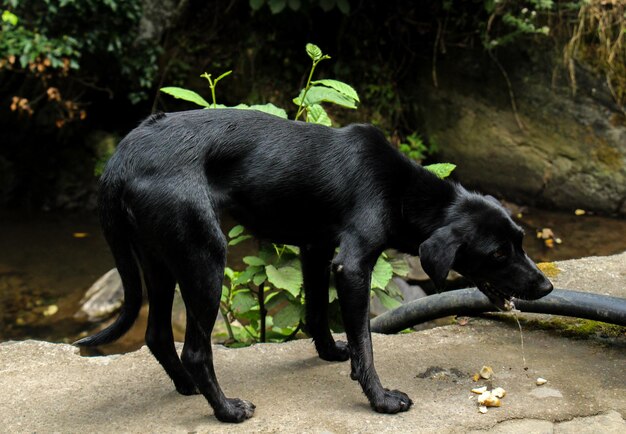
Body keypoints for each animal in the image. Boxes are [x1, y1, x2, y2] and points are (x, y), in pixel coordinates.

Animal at [74, 109, 552, 424]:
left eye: (521, 241)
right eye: (498, 254)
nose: (546, 288)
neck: (400, 189)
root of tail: (120, 158)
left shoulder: (315, 248)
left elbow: (319, 311)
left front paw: (330, 352)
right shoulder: (353, 264)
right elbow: (365, 342)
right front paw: (381, 399)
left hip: (159, 260)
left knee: (156, 334)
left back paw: (187, 387)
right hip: (203, 255)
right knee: (195, 349)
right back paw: (227, 410)